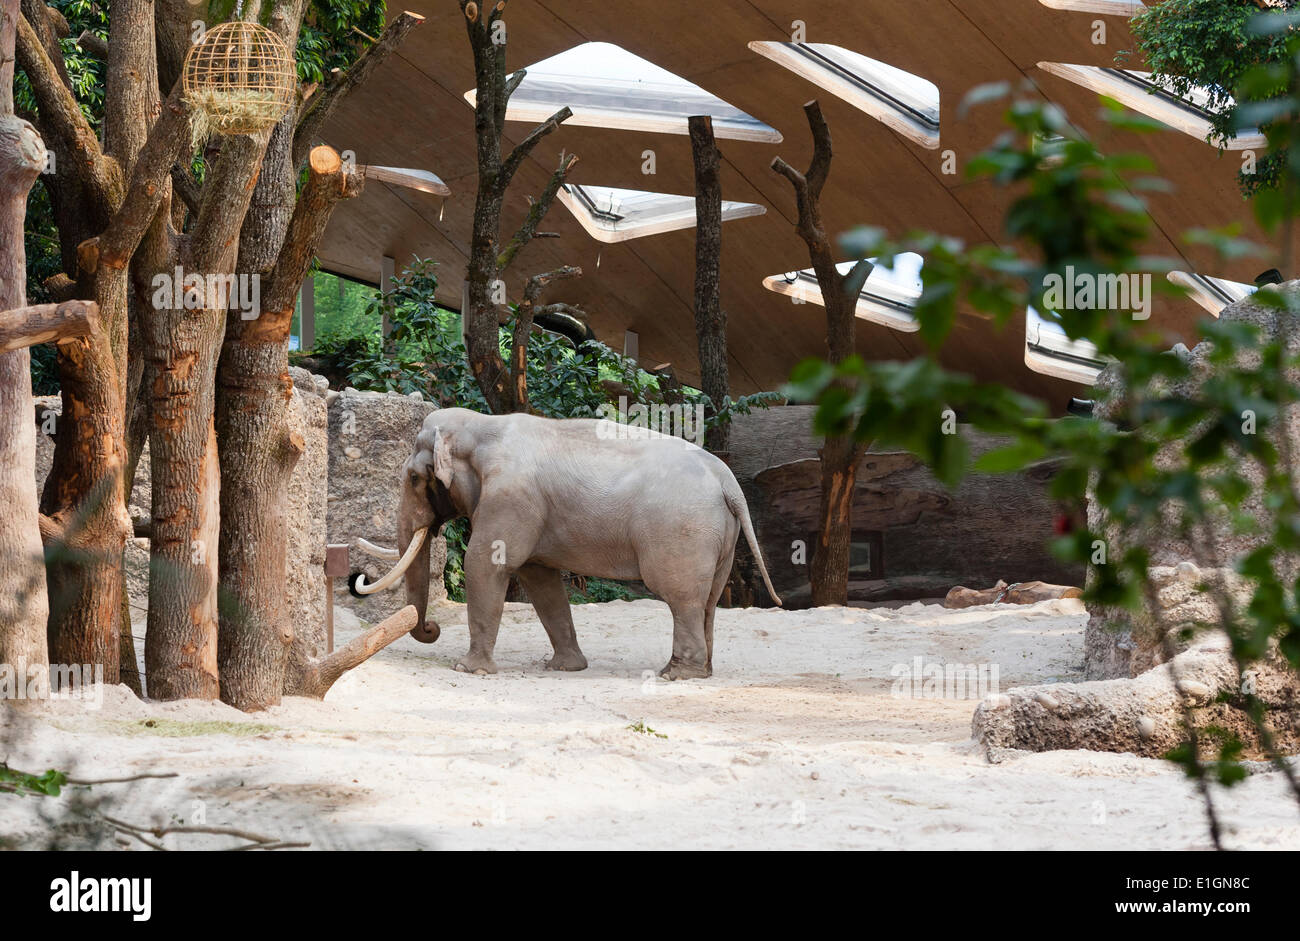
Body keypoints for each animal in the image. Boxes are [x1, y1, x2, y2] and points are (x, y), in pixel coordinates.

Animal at [353, 408, 780, 681]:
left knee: (682, 598)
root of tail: (727, 479)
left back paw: (676, 675)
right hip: (720, 536)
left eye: (412, 478)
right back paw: (702, 672)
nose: (432, 628)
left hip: (683, 531)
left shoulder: (511, 498)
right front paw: (564, 668)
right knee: (708, 601)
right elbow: (540, 580)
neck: (482, 424)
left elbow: (484, 564)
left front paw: (469, 670)